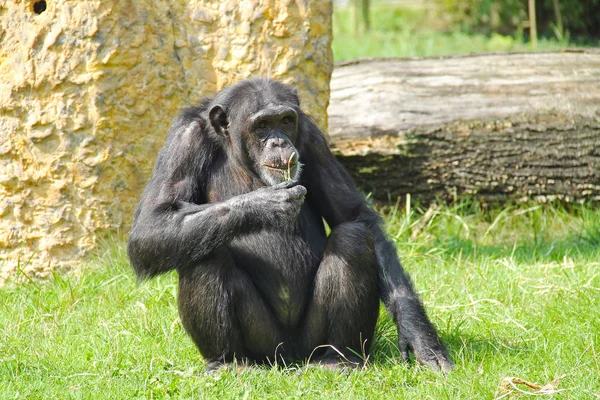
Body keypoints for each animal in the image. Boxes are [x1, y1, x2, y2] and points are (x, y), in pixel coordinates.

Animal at [127, 77, 454, 372]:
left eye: (285, 121)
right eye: (261, 125)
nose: (279, 141)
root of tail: (290, 358)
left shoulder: (311, 137)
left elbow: (354, 216)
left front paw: (418, 336)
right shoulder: (184, 140)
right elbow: (151, 227)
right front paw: (266, 203)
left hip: (311, 341)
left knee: (353, 239)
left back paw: (339, 359)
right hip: (264, 342)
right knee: (205, 256)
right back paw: (229, 363)